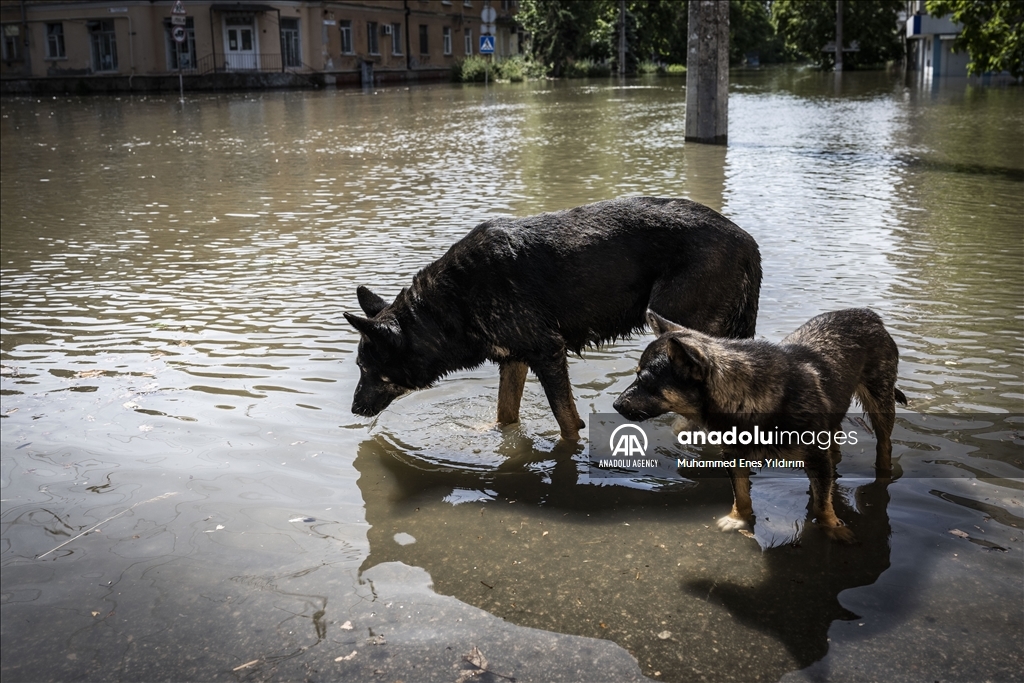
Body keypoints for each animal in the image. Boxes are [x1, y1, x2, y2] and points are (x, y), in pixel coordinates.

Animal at [344, 197, 761, 444]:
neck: (448, 306)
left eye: (365, 368)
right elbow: (505, 414)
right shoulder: (515, 360)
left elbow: (567, 421)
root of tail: (748, 242)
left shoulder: (548, 353)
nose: (353, 409)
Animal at [610, 309, 909, 540]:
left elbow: (823, 503)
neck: (745, 397)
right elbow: (740, 494)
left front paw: (832, 527)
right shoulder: (734, 456)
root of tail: (868, 315)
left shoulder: (815, 457)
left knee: (884, 443)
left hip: (880, 402)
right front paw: (738, 519)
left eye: (645, 381)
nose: (615, 404)